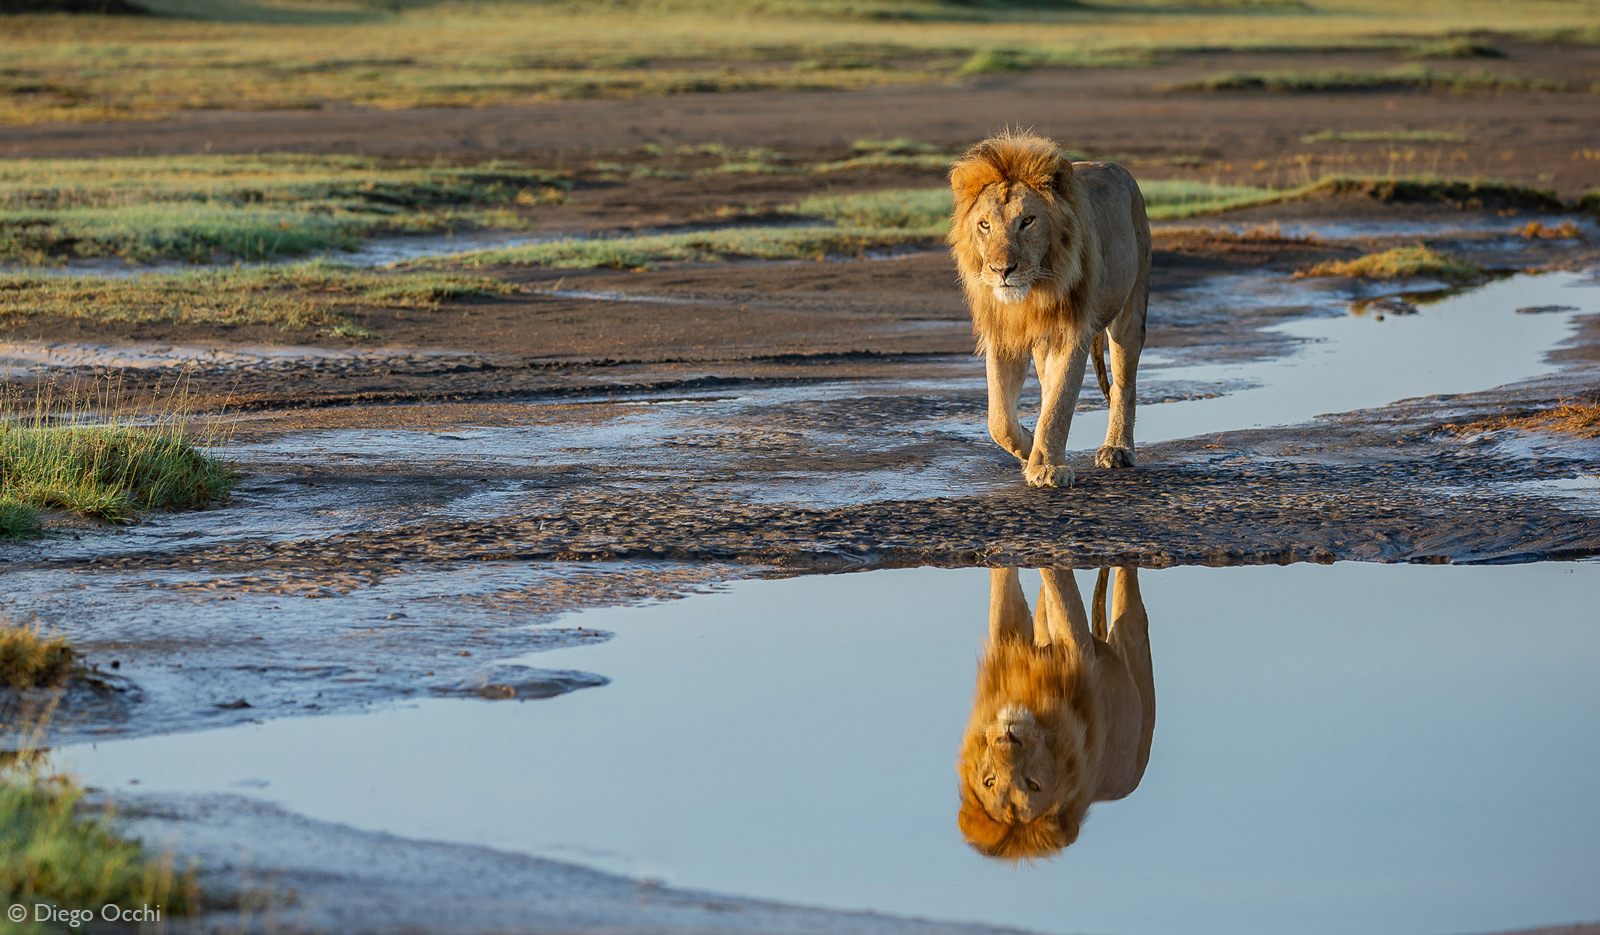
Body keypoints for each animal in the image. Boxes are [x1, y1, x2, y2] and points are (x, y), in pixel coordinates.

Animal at [940, 132, 1158, 489]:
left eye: (1027, 221)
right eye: (984, 225)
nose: (1002, 270)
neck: (1031, 296)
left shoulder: (1072, 332)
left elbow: (1059, 403)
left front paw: (1047, 467)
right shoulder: (1004, 336)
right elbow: (1000, 420)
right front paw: (1030, 449)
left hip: (1131, 308)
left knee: (1124, 385)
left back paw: (1117, 449)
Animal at [953, 566, 1158, 858]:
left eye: (1033, 784)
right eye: (989, 781)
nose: (1007, 739)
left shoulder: (1079, 646)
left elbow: (1058, 587)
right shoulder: (1009, 636)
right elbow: (1004, 592)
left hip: (1132, 636)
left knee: (1127, 591)